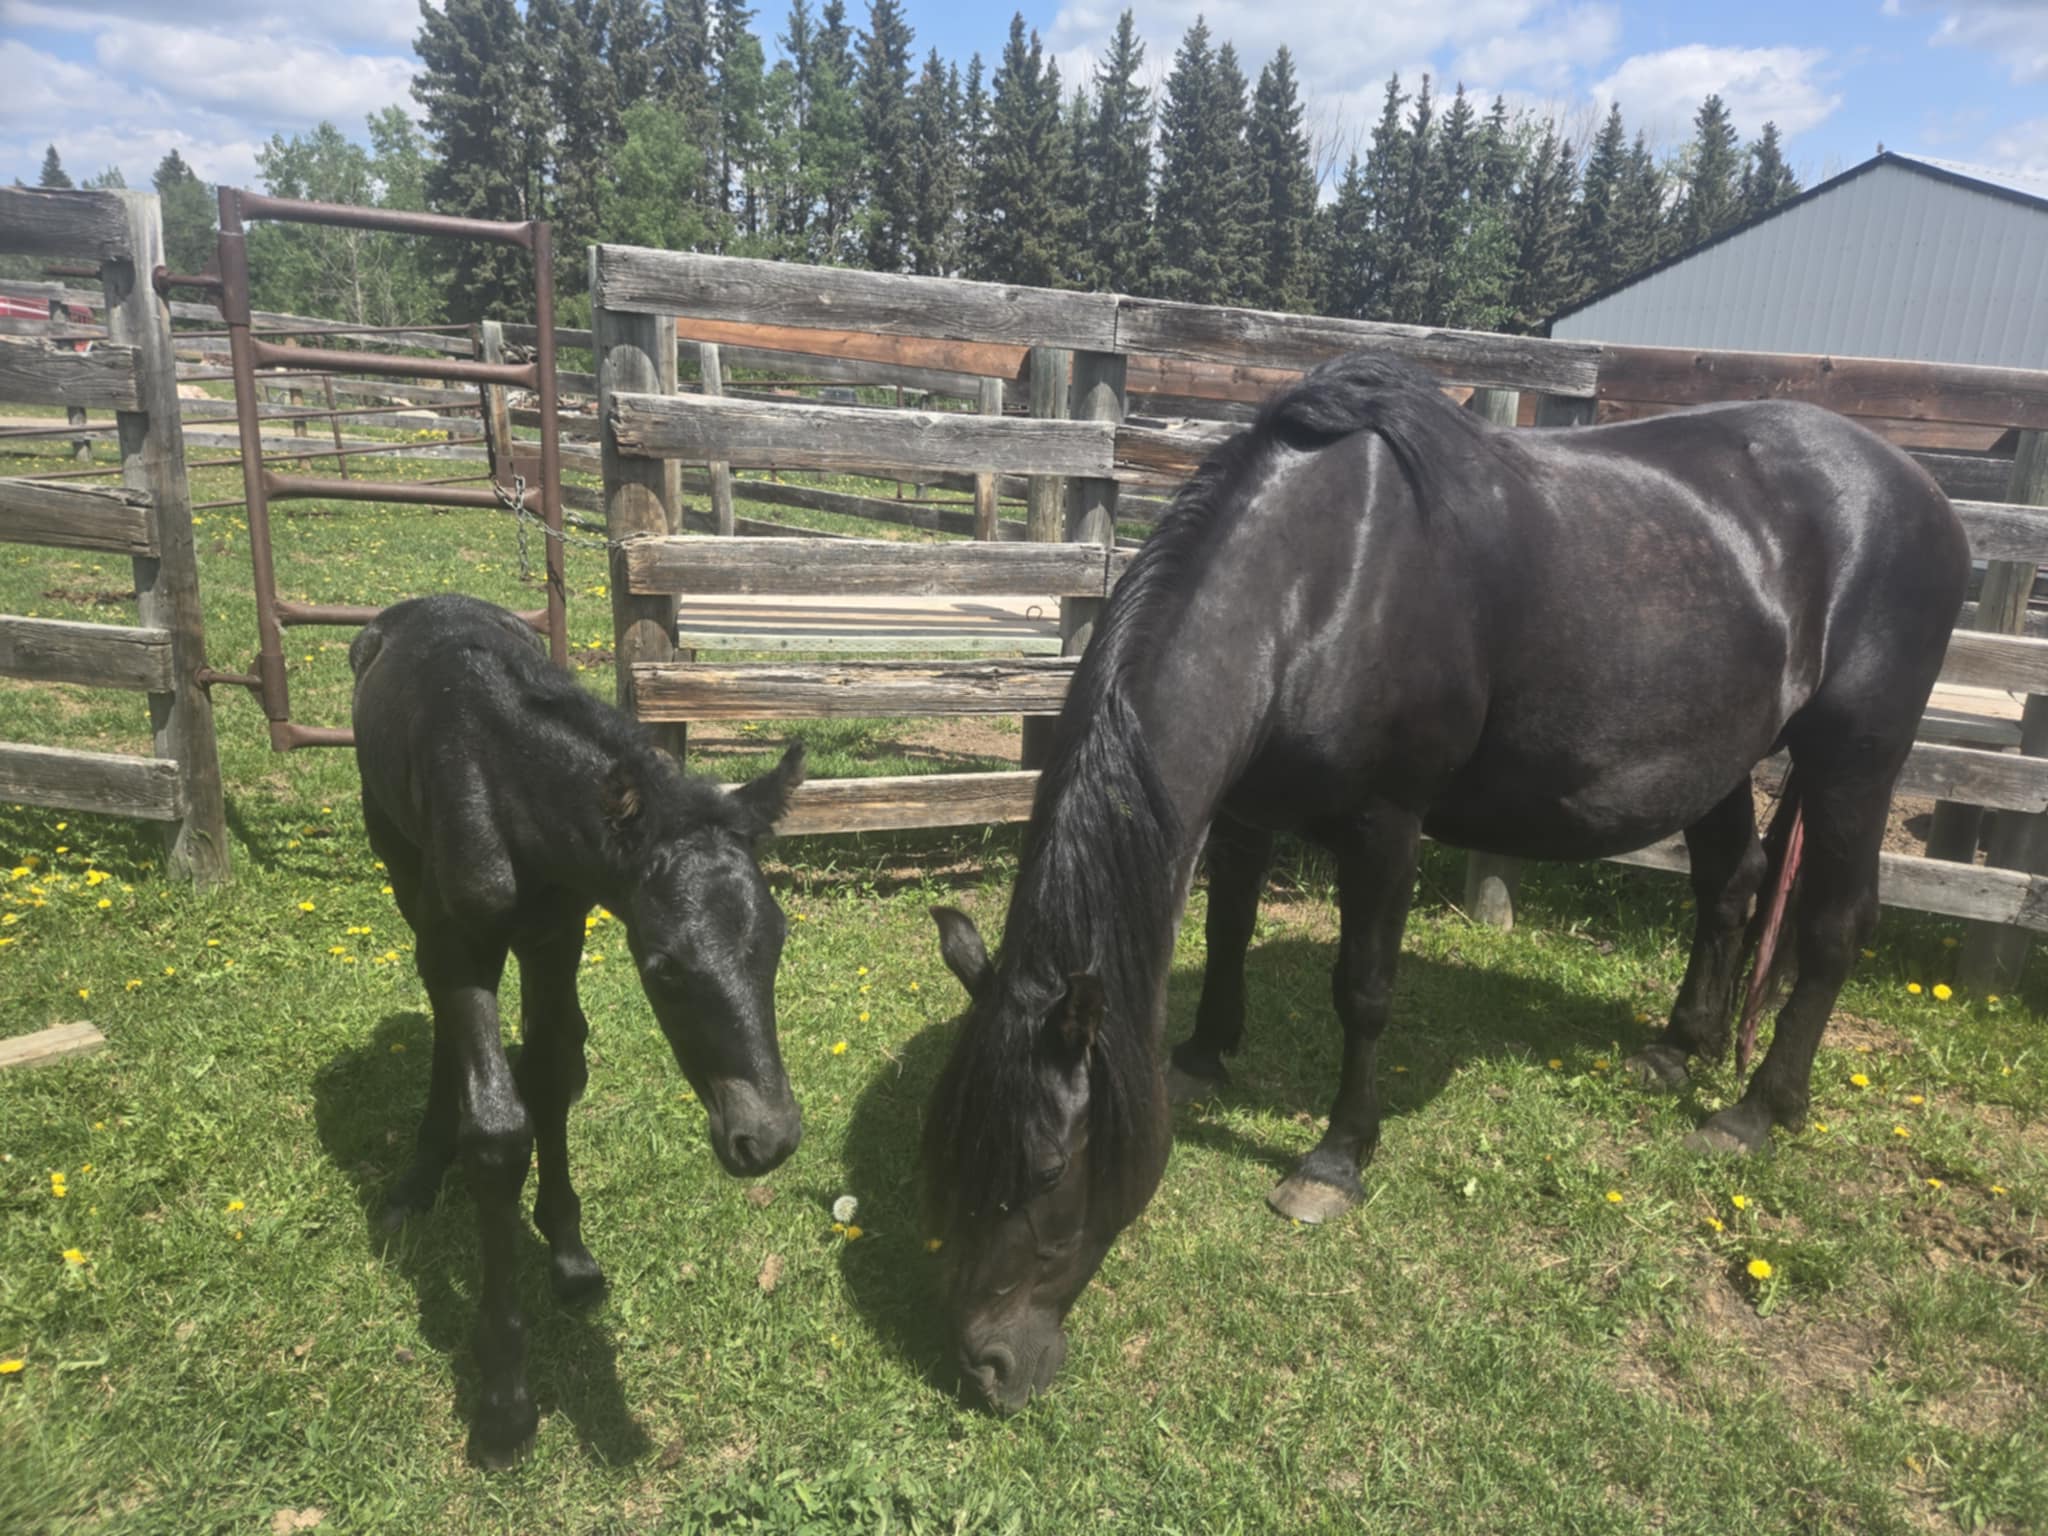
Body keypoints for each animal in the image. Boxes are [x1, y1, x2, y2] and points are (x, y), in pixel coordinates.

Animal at [349, 594, 806, 1465]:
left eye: (778, 938)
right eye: (665, 969)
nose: (765, 1139)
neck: (508, 788)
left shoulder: (557, 932)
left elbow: (553, 1075)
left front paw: (568, 1255)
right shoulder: (461, 941)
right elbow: (498, 1129)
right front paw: (504, 1402)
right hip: (400, 867)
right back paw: (417, 1175)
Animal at [920, 354, 1969, 1414]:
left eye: (1051, 1167)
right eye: (948, 1138)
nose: (984, 1364)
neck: (1319, 584)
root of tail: (1924, 492)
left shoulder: (1387, 824)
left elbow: (1365, 991)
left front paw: (1335, 1160)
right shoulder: (1249, 809)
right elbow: (1227, 934)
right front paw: (1205, 1053)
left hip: (1855, 759)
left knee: (1834, 924)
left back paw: (1755, 1110)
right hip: (1718, 755)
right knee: (1728, 884)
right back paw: (1677, 1050)